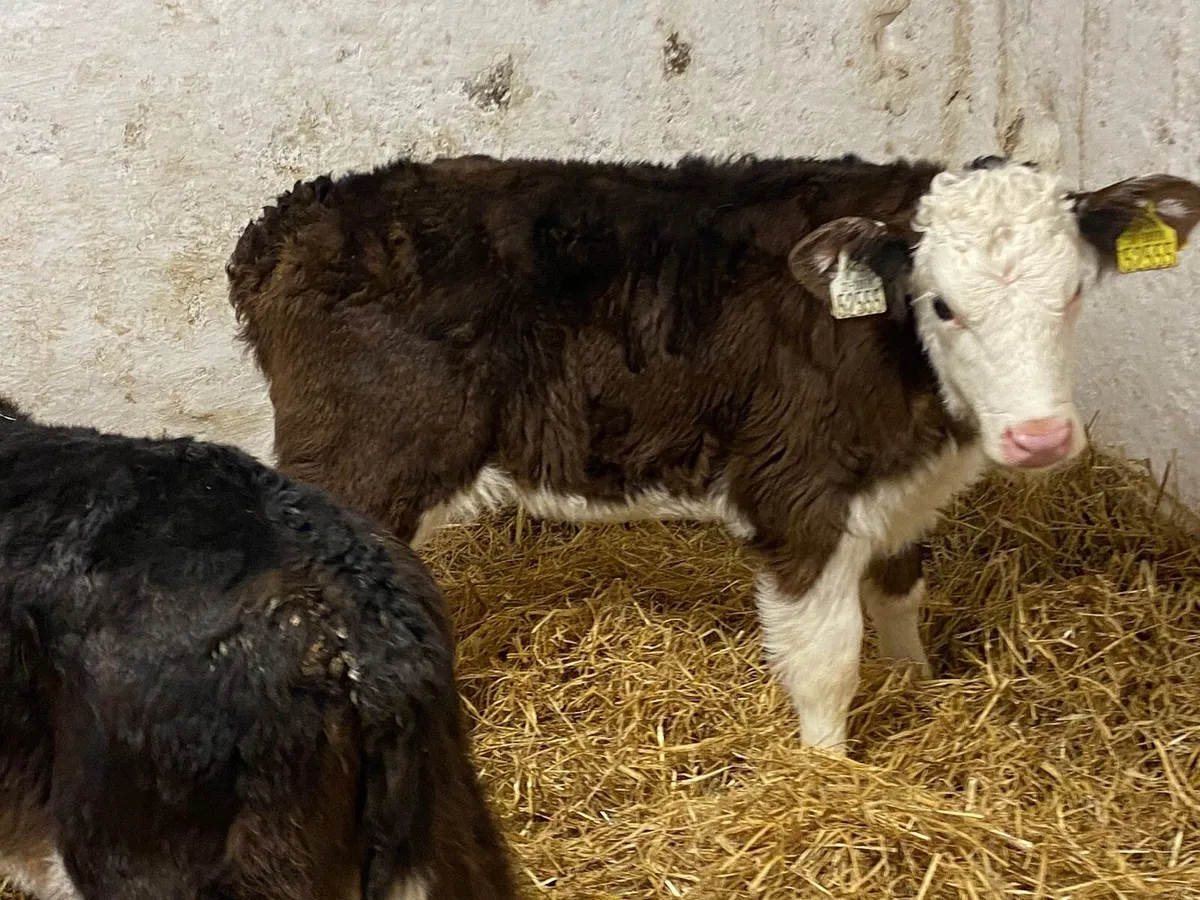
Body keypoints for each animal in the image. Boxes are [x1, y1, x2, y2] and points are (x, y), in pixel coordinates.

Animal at [226, 152, 1200, 754]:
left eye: (1074, 294)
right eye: (942, 305)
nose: (1041, 438)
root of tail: (289, 221)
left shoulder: (902, 490)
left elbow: (900, 600)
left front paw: (921, 687)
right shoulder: (799, 491)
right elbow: (829, 660)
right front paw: (830, 777)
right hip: (361, 467)